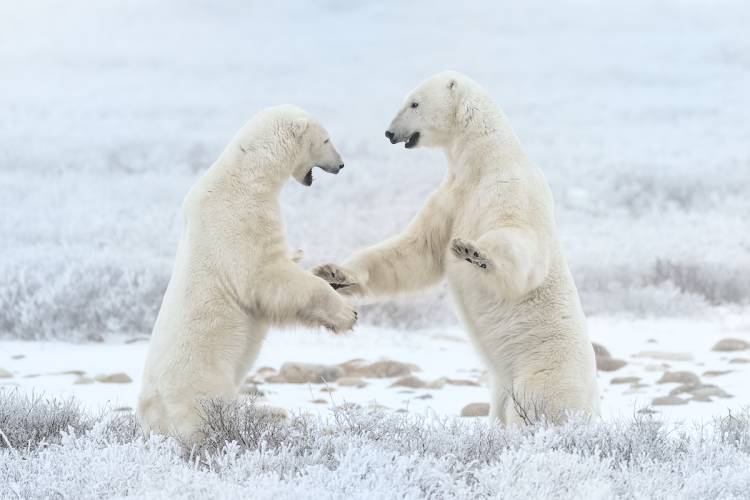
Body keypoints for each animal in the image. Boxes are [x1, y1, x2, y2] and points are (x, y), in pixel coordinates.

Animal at [137, 105, 358, 442]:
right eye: (326, 139)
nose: (341, 165)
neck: (246, 175)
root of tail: (149, 416)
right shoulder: (240, 219)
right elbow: (267, 278)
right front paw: (348, 314)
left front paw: (330, 273)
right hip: (199, 379)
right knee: (216, 413)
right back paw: (266, 417)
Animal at [314, 72, 604, 424]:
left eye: (414, 103)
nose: (389, 133)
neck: (484, 161)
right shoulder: (451, 197)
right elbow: (415, 250)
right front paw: (333, 274)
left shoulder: (511, 188)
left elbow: (521, 240)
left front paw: (474, 252)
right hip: (502, 386)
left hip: (544, 372)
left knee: (535, 408)